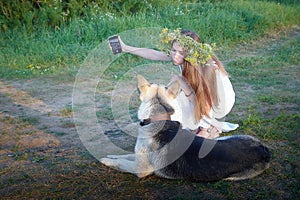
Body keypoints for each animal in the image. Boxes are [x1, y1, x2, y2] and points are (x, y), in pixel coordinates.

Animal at [99, 74, 270, 181]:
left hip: (231, 177)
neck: (159, 117)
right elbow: (124, 156)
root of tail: (264, 150)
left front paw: (106, 160)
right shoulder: (137, 157)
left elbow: (122, 163)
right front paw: (112, 156)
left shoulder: (141, 169)